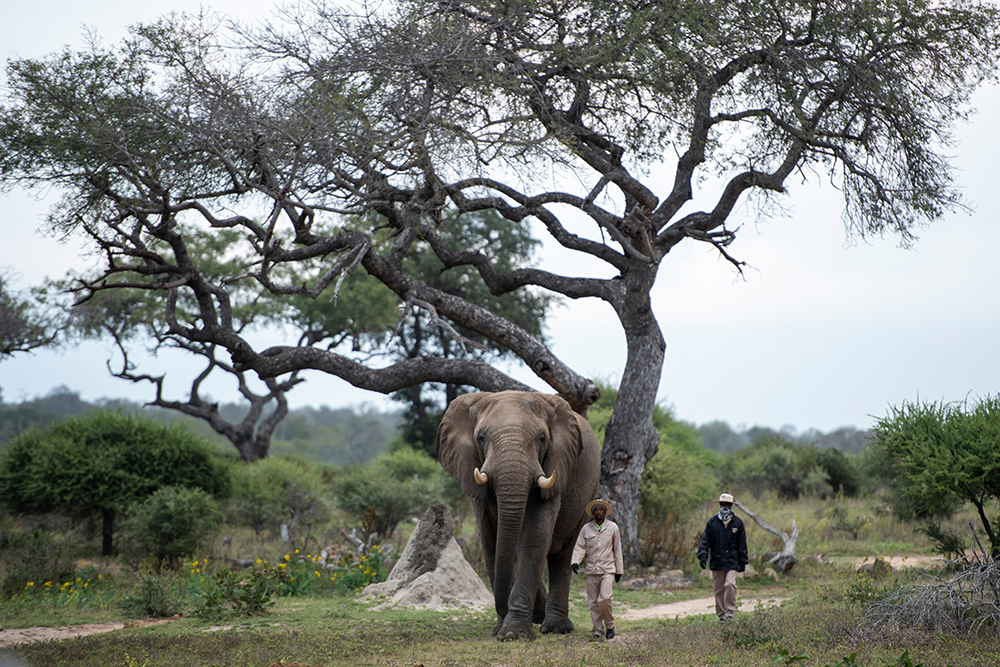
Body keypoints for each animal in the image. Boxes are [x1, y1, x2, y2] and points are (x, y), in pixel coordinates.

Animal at [436, 390, 600, 640]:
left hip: (588, 491)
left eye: (542, 439)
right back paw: (539, 618)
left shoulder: (554, 467)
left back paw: (555, 628)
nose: (502, 607)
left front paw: (514, 633)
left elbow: (534, 536)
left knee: (563, 554)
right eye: (481, 438)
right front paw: (500, 630)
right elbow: (490, 539)